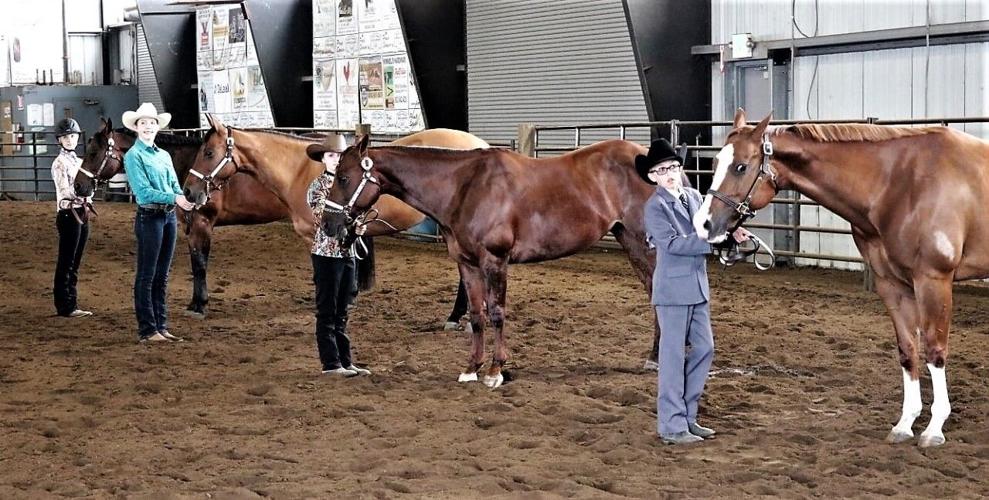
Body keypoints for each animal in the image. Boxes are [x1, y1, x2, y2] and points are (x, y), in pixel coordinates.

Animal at [72, 117, 290, 318]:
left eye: (93, 153)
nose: (78, 186)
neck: (191, 166)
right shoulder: (191, 227)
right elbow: (195, 262)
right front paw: (194, 303)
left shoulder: (202, 223)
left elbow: (200, 263)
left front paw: (200, 306)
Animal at [320, 135, 660, 388]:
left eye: (344, 177)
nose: (328, 225)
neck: (464, 187)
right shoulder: (467, 264)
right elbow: (476, 315)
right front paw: (472, 368)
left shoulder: (494, 261)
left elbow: (496, 313)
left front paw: (496, 371)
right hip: (629, 240)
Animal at [692, 107, 988, 448]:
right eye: (715, 163)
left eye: (740, 166)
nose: (703, 224)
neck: (900, 184)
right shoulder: (892, 284)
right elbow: (908, 349)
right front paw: (905, 423)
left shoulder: (933, 280)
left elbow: (935, 350)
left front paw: (934, 429)